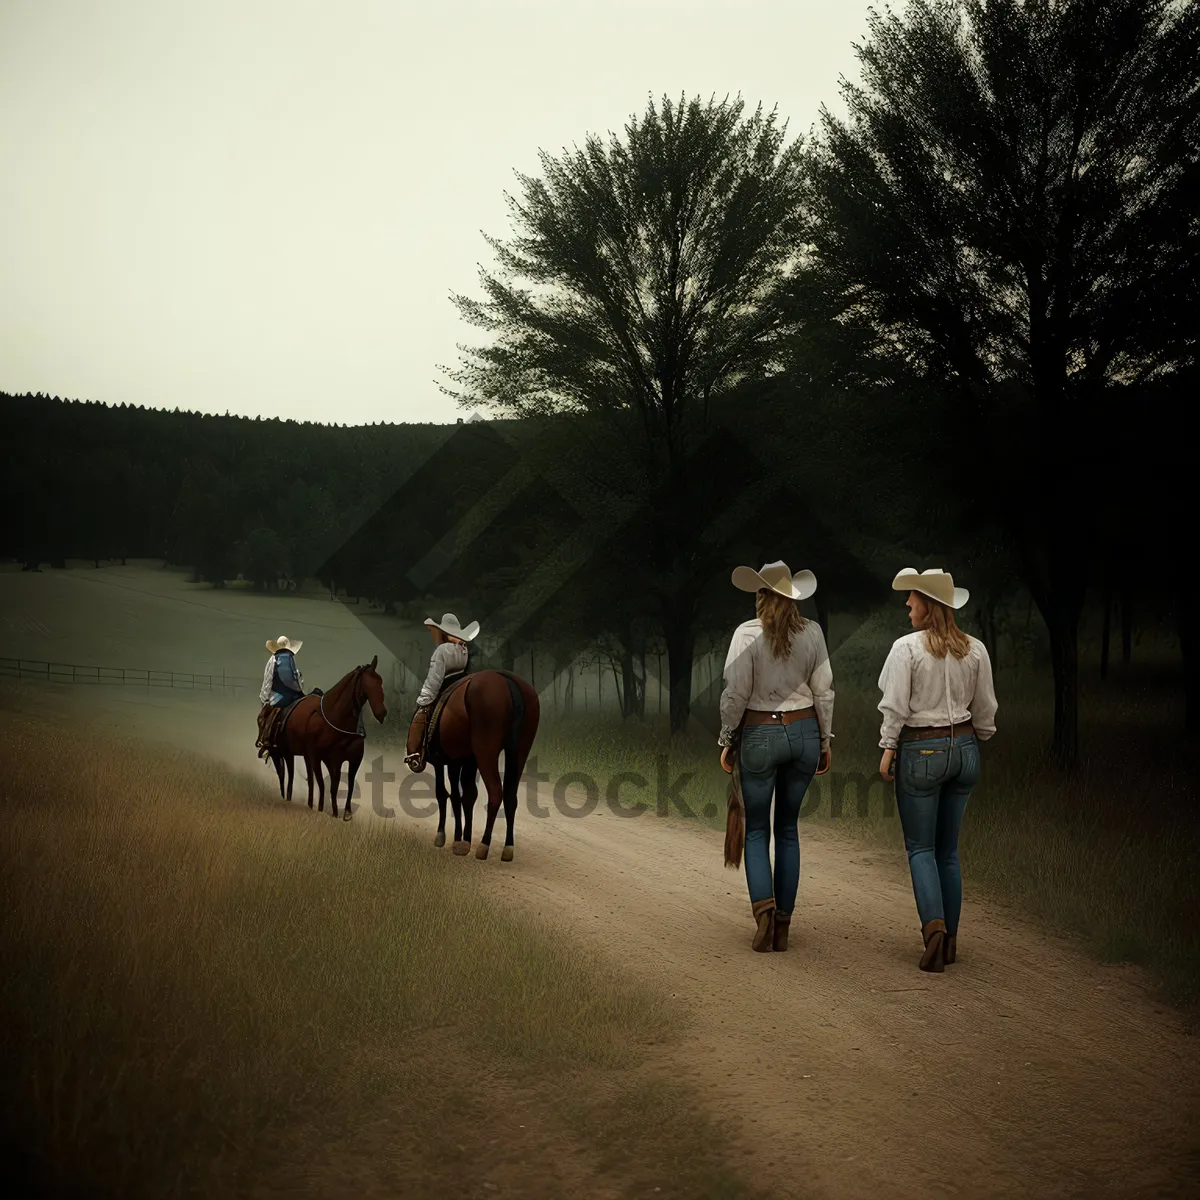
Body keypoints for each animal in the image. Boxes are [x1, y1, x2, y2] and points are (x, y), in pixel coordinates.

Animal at [278, 662, 386, 820]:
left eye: (380, 682)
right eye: (368, 684)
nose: (382, 713)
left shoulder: (353, 760)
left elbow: (349, 783)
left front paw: (345, 813)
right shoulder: (330, 758)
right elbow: (327, 784)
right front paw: (327, 811)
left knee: (311, 778)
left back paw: (310, 803)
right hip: (292, 753)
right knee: (295, 775)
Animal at [429, 672, 537, 859]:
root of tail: (507, 680)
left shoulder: (448, 761)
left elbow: (447, 794)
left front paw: (450, 837)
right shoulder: (466, 760)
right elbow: (466, 795)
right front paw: (463, 840)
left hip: (486, 752)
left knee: (495, 793)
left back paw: (484, 844)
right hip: (520, 751)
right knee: (510, 796)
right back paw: (508, 847)